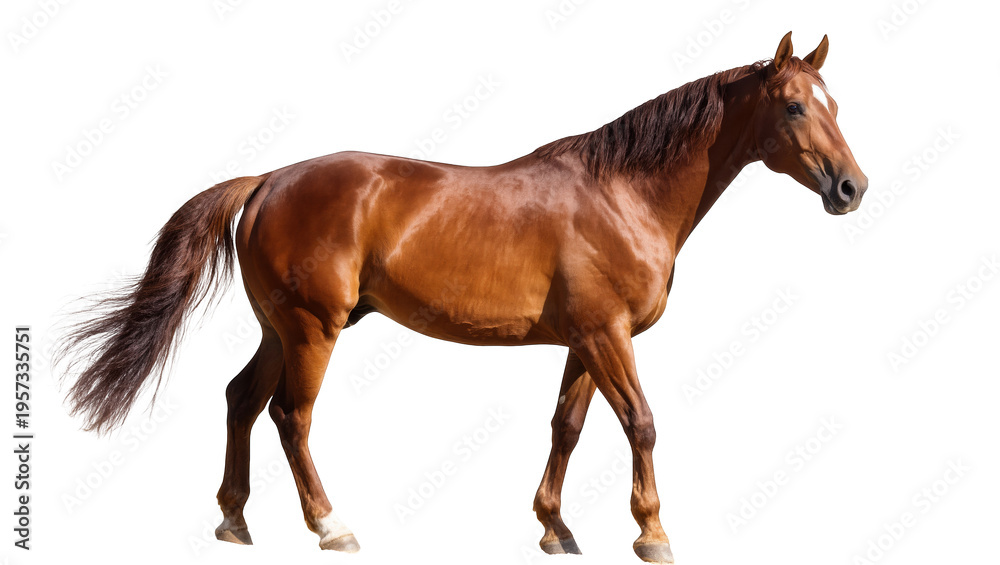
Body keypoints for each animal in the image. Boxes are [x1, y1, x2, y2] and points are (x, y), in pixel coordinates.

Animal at [56, 32, 866, 563]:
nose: (851, 188)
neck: (622, 193)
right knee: (291, 416)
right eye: (795, 107)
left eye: (835, 103)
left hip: (280, 328)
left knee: (240, 399)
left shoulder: (585, 339)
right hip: (313, 329)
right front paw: (652, 532)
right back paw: (330, 526)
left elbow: (566, 427)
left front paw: (555, 527)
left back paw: (234, 521)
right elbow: (640, 422)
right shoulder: (608, 334)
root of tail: (267, 180)